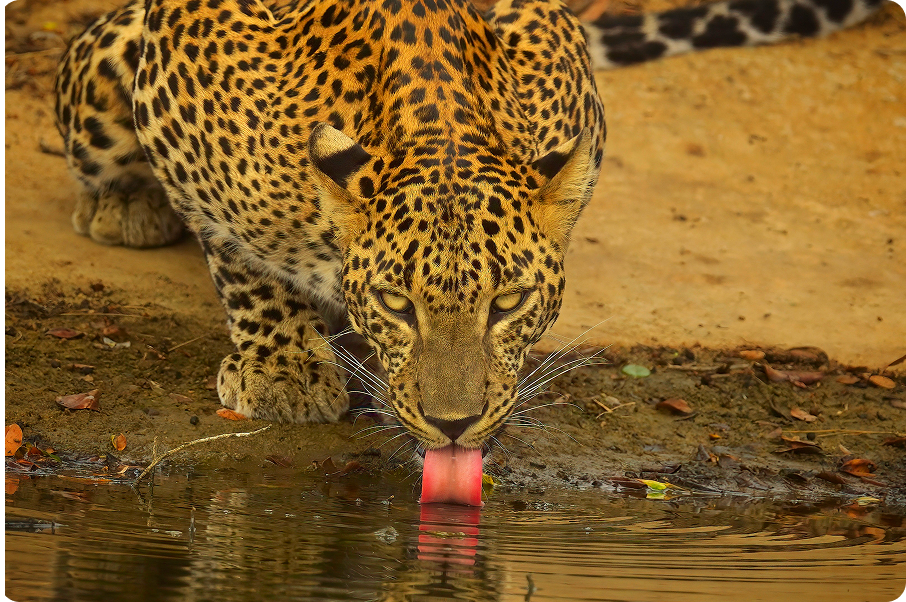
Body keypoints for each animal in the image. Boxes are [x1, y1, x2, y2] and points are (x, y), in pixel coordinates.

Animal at [54, 0, 887, 453]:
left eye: (508, 303)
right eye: (396, 305)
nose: (454, 427)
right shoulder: (183, 69)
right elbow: (241, 256)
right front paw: (283, 369)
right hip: (104, 72)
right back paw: (125, 204)